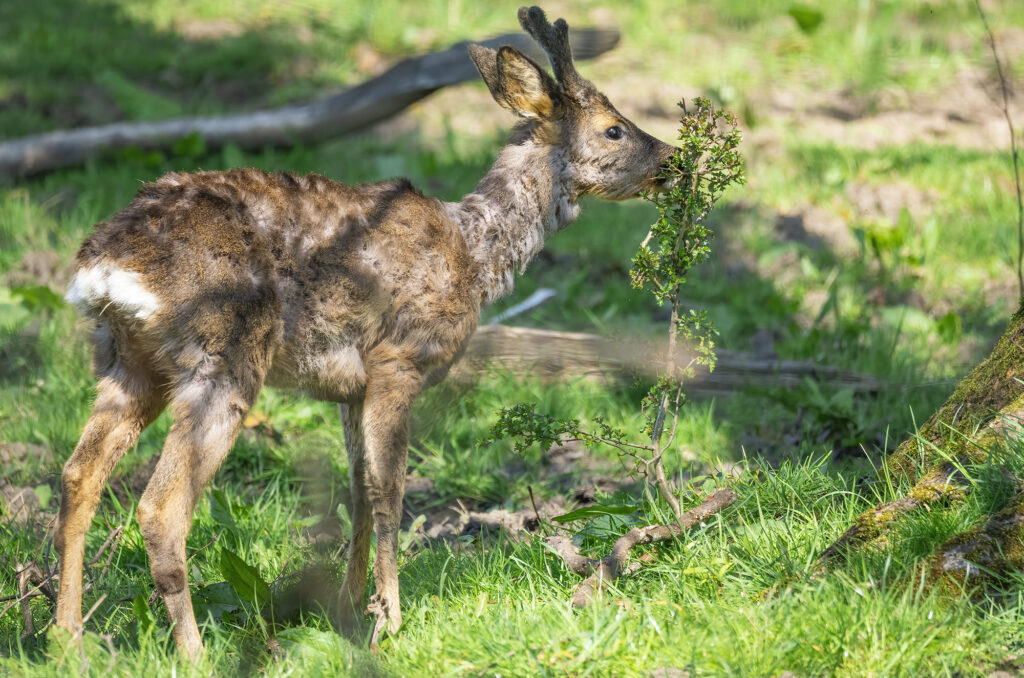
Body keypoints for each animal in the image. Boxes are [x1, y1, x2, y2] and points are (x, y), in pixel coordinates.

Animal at [59, 2, 675, 655]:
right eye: (614, 128)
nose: (672, 159)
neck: (474, 255)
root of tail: (106, 265)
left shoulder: (349, 389)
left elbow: (357, 493)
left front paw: (348, 611)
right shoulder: (398, 362)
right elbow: (389, 494)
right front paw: (390, 620)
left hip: (128, 360)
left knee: (78, 475)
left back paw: (65, 636)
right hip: (221, 356)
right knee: (159, 506)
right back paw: (194, 652)